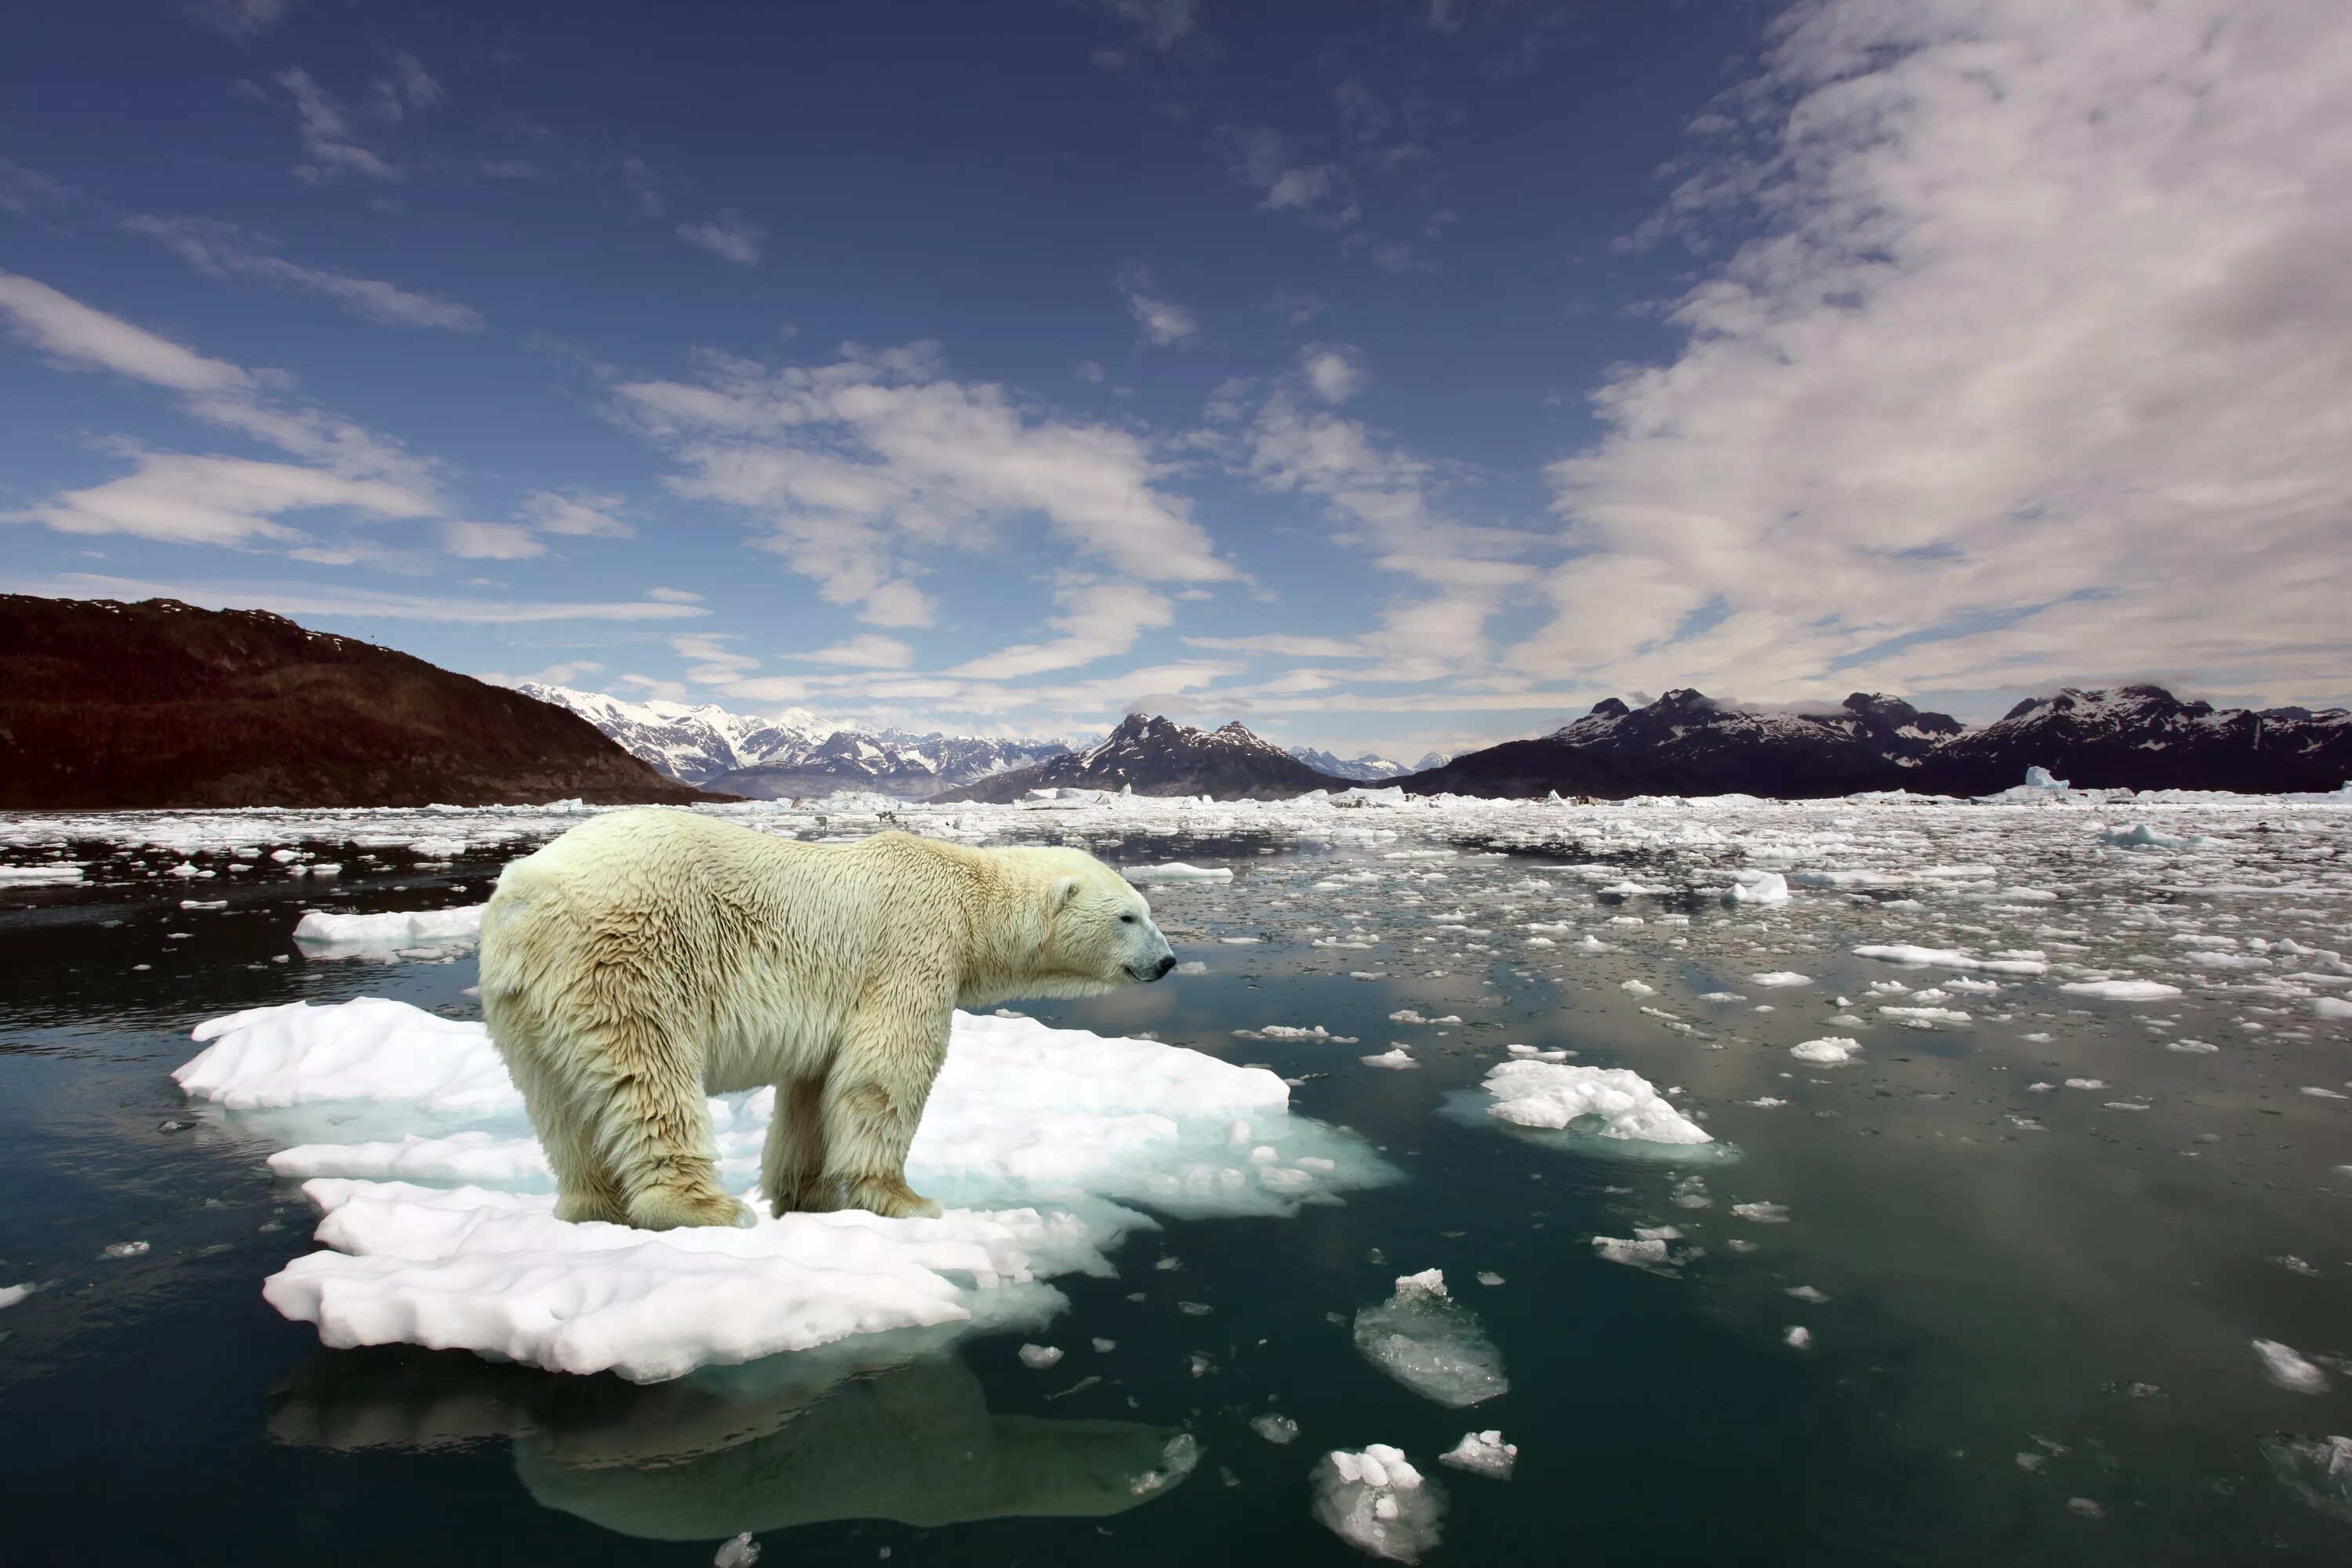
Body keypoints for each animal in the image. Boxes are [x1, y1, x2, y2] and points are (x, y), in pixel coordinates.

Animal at [477, 818, 1176, 1232]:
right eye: (1129, 917)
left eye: (1145, 909)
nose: (1168, 962)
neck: (967, 896)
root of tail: (525, 896)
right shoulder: (913, 947)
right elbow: (887, 1072)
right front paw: (904, 1199)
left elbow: (814, 1091)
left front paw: (807, 1195)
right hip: (629, 958)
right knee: (649, 1076)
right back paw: (704, 1207)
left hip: (523, 1004)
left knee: (559, 1106)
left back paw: (592, 1207)